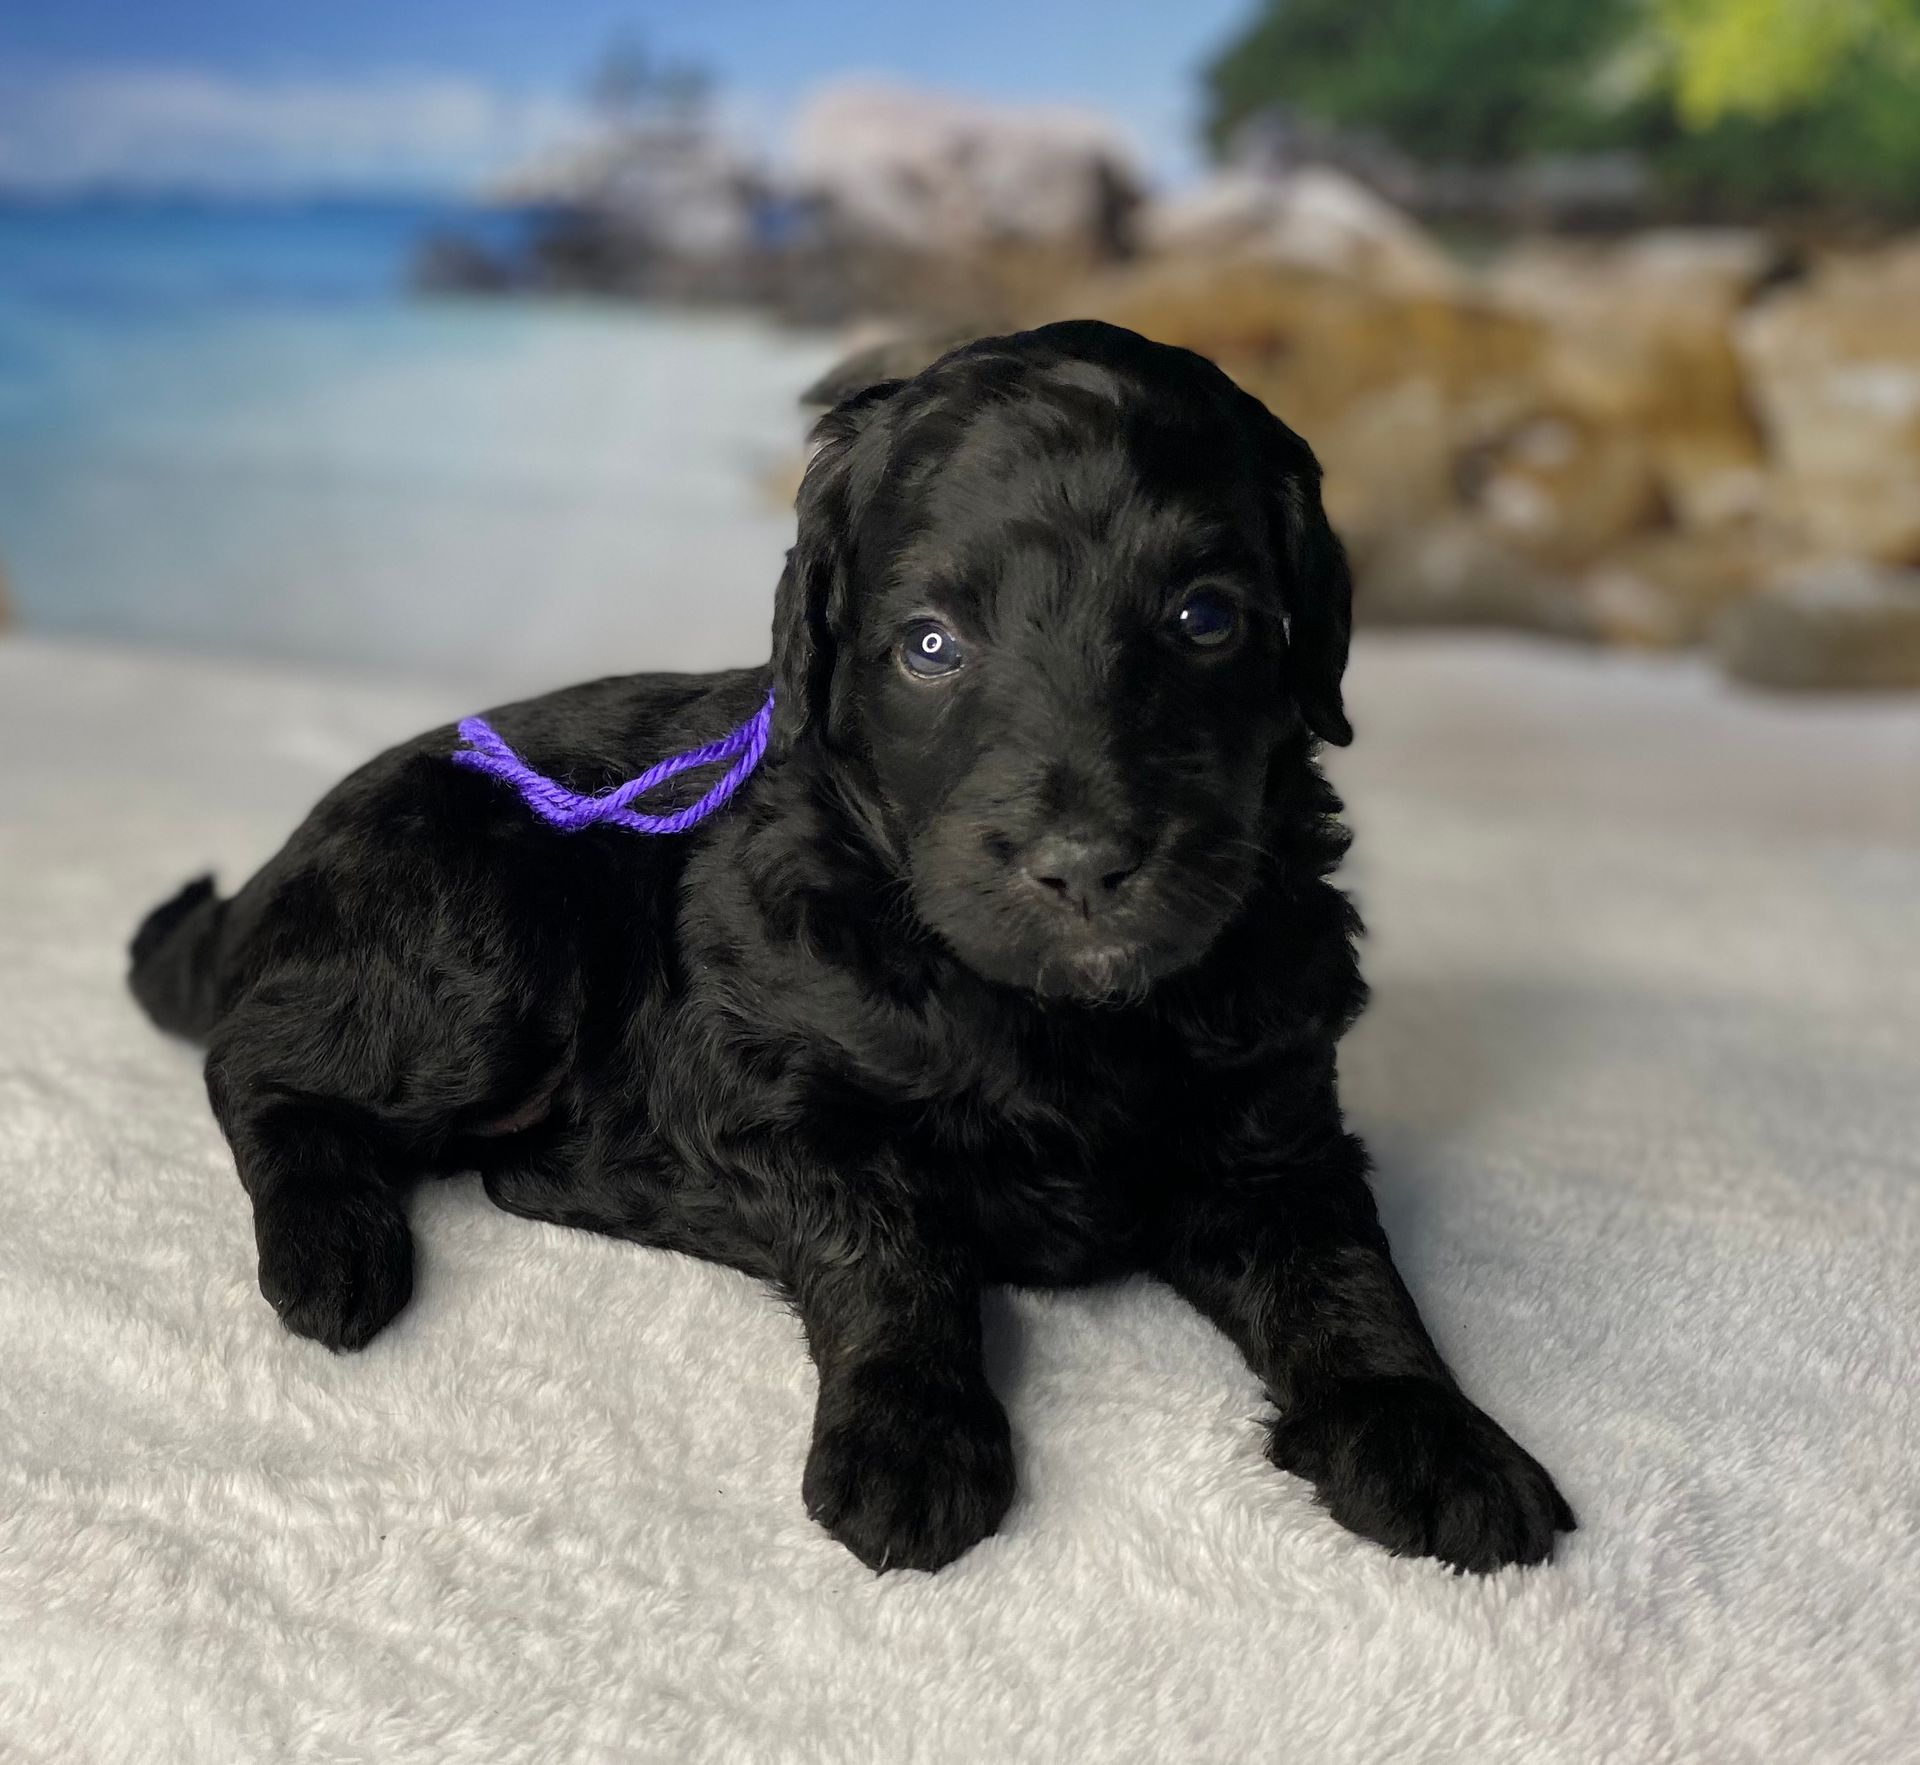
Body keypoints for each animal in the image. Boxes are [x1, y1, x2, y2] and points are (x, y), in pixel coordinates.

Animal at [131, 324, 1574, 1582]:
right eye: (930, 644)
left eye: (1205, 618)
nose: (1084, 865)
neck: (1049, 1010)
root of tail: (271, 878)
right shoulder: (771, 1088)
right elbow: (893, 1248)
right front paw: (909, 1442)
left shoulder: (1275, 1113)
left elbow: (1347, 1272)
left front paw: (1433, 1436)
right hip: (478, 944)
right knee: (253, 1063)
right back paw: (333, 1254)